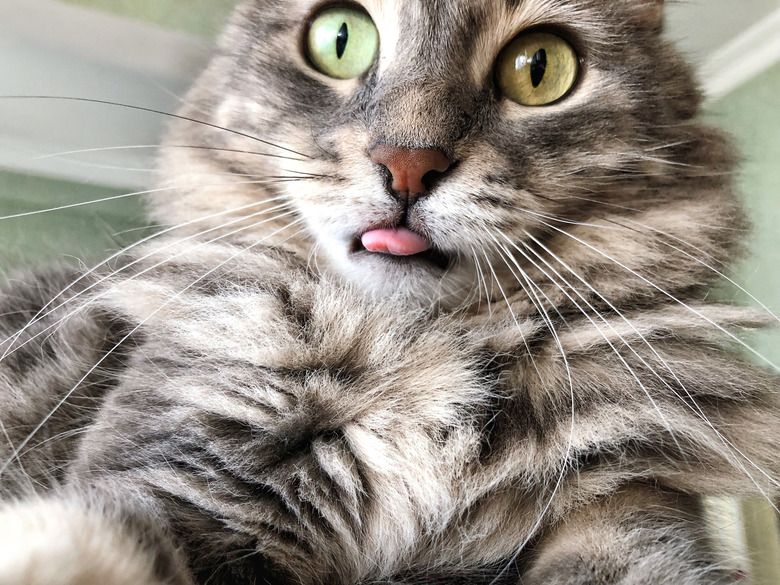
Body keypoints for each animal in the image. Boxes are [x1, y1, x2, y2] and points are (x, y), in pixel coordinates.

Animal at [1, 0, 780, 580]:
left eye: (541, 68)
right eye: (339, 38)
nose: (408, 163)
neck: (417, 349)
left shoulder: (630, 506)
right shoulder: (186, 474)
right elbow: (100, 539)